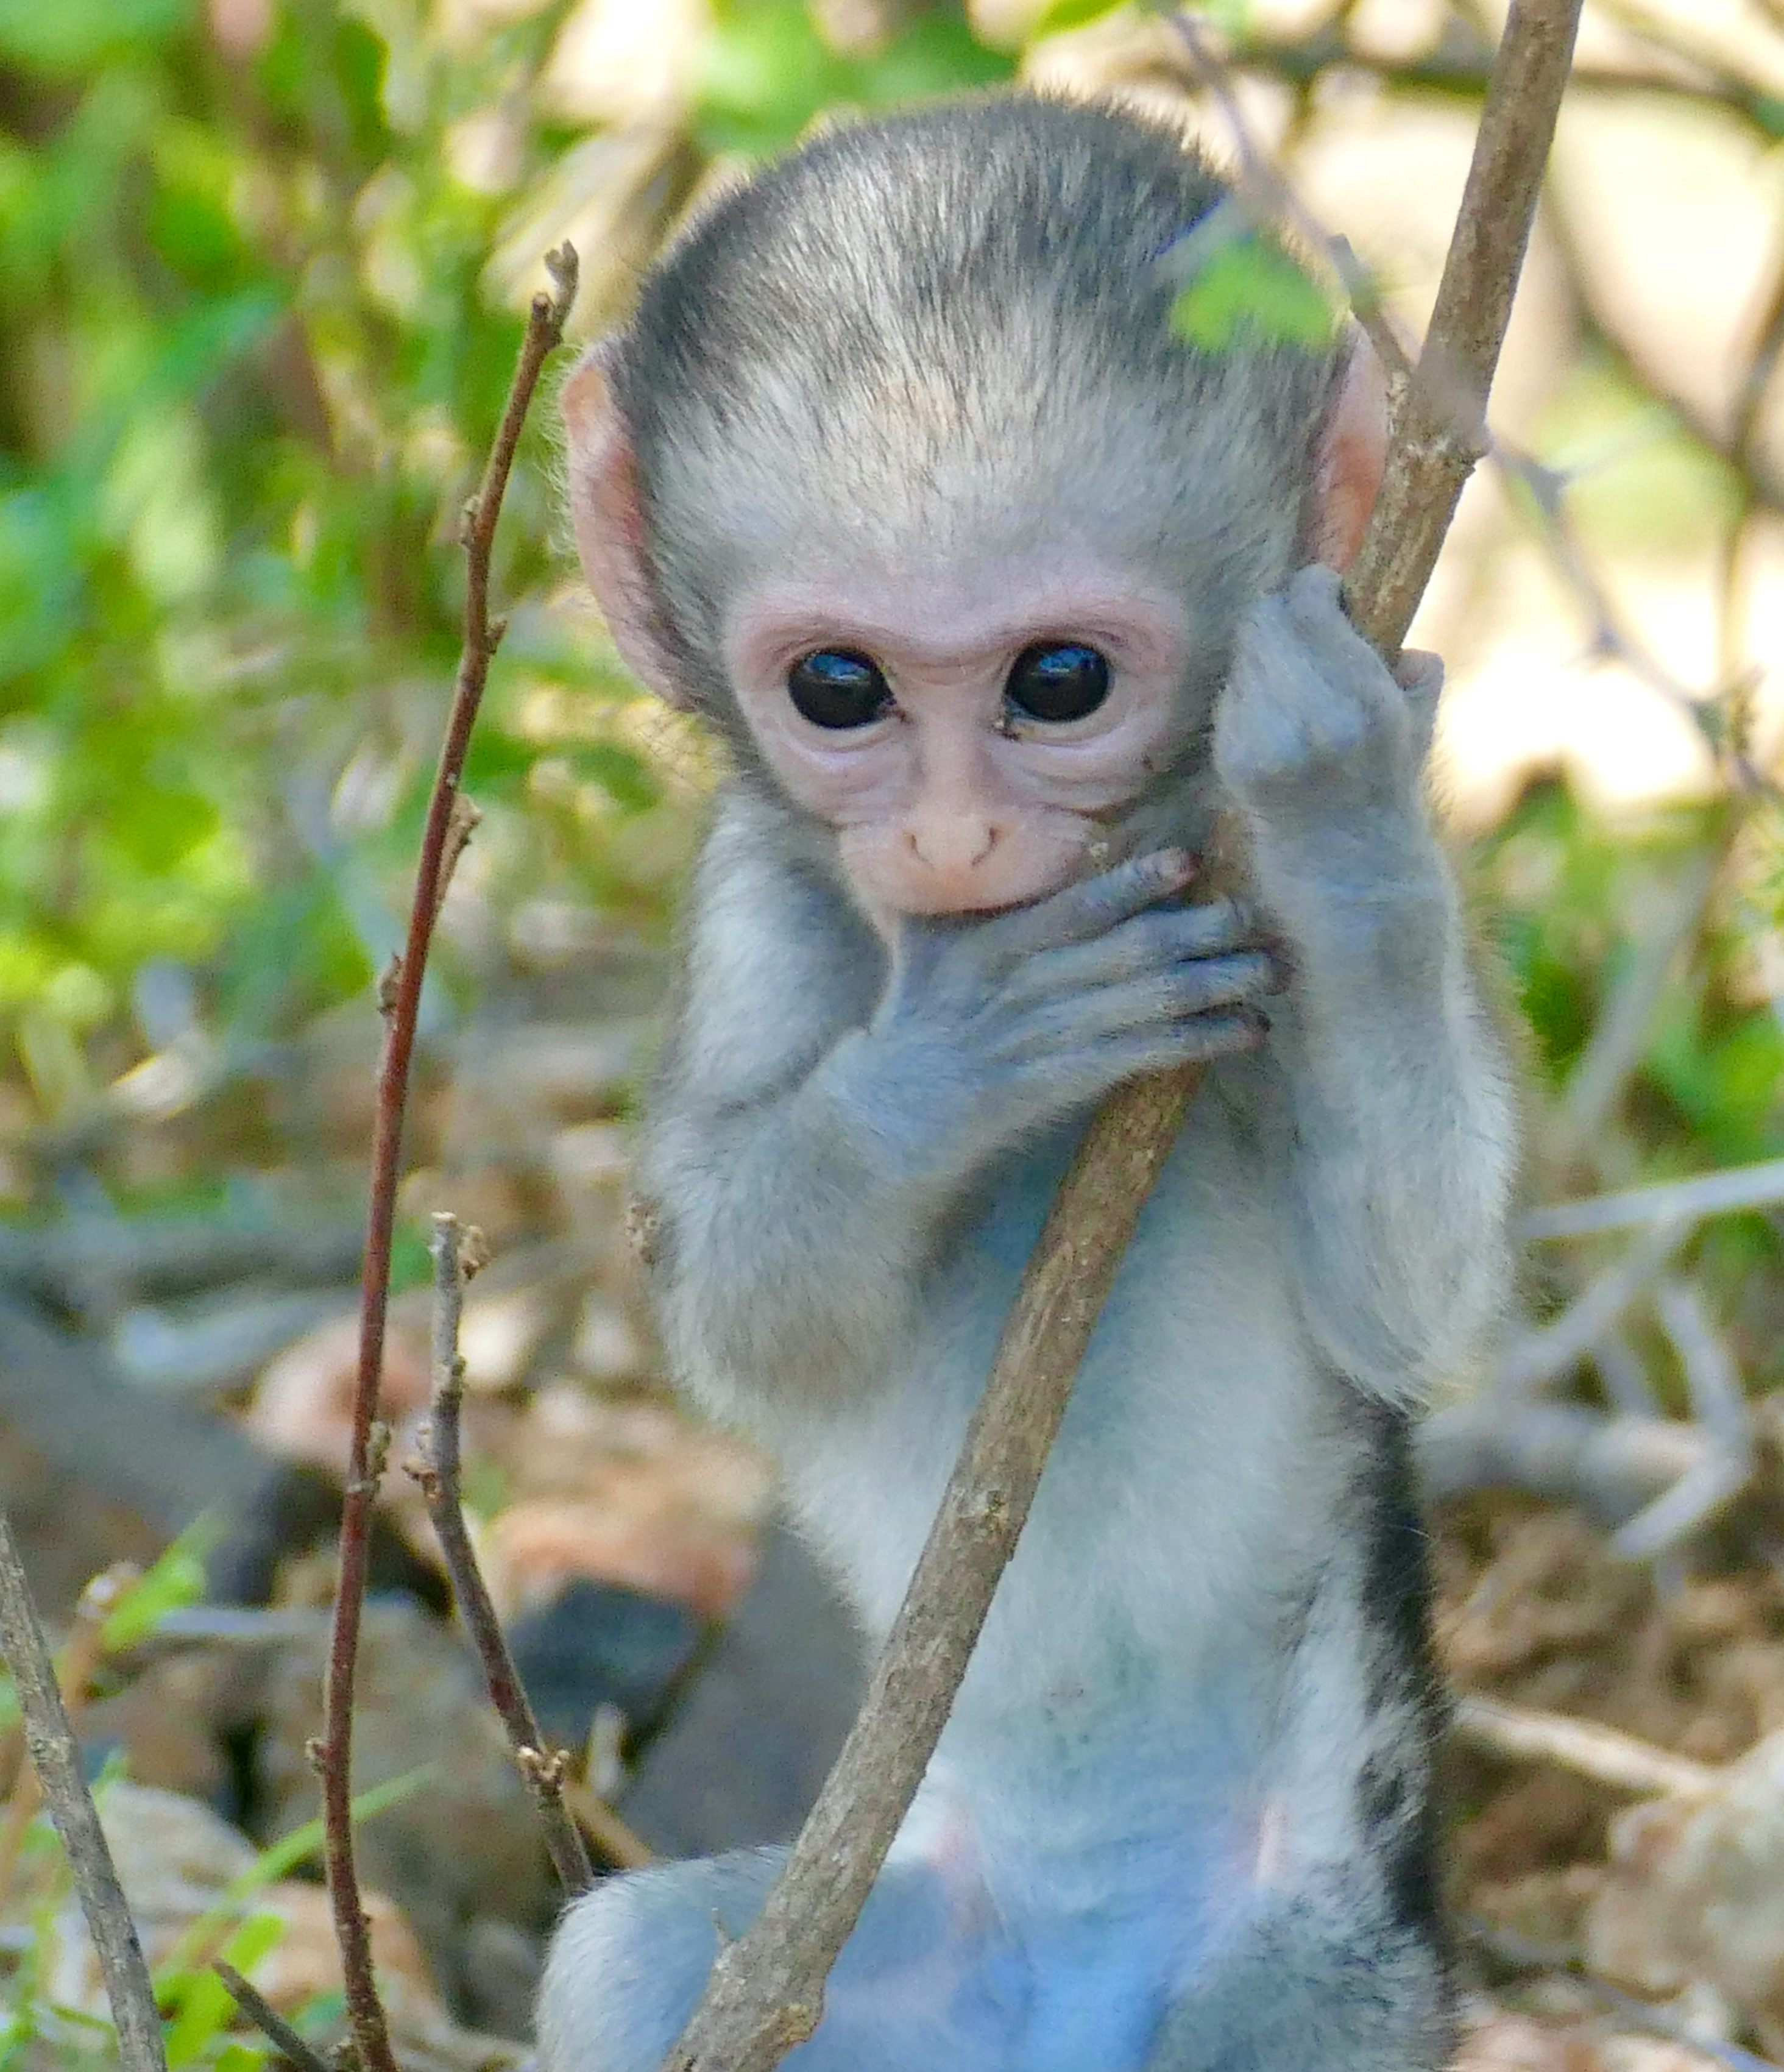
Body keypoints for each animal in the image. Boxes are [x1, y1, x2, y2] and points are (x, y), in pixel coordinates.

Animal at [539, 93, 1500, 2072]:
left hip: (1320, 1975)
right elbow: (745, 1317)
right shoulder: (758, 906)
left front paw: (1344, 815)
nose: (955, 840)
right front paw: (956, 1058)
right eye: (840, 689)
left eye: (1058, 680)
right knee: (630, 1963)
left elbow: (1401, 1297)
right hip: (886, 1975)